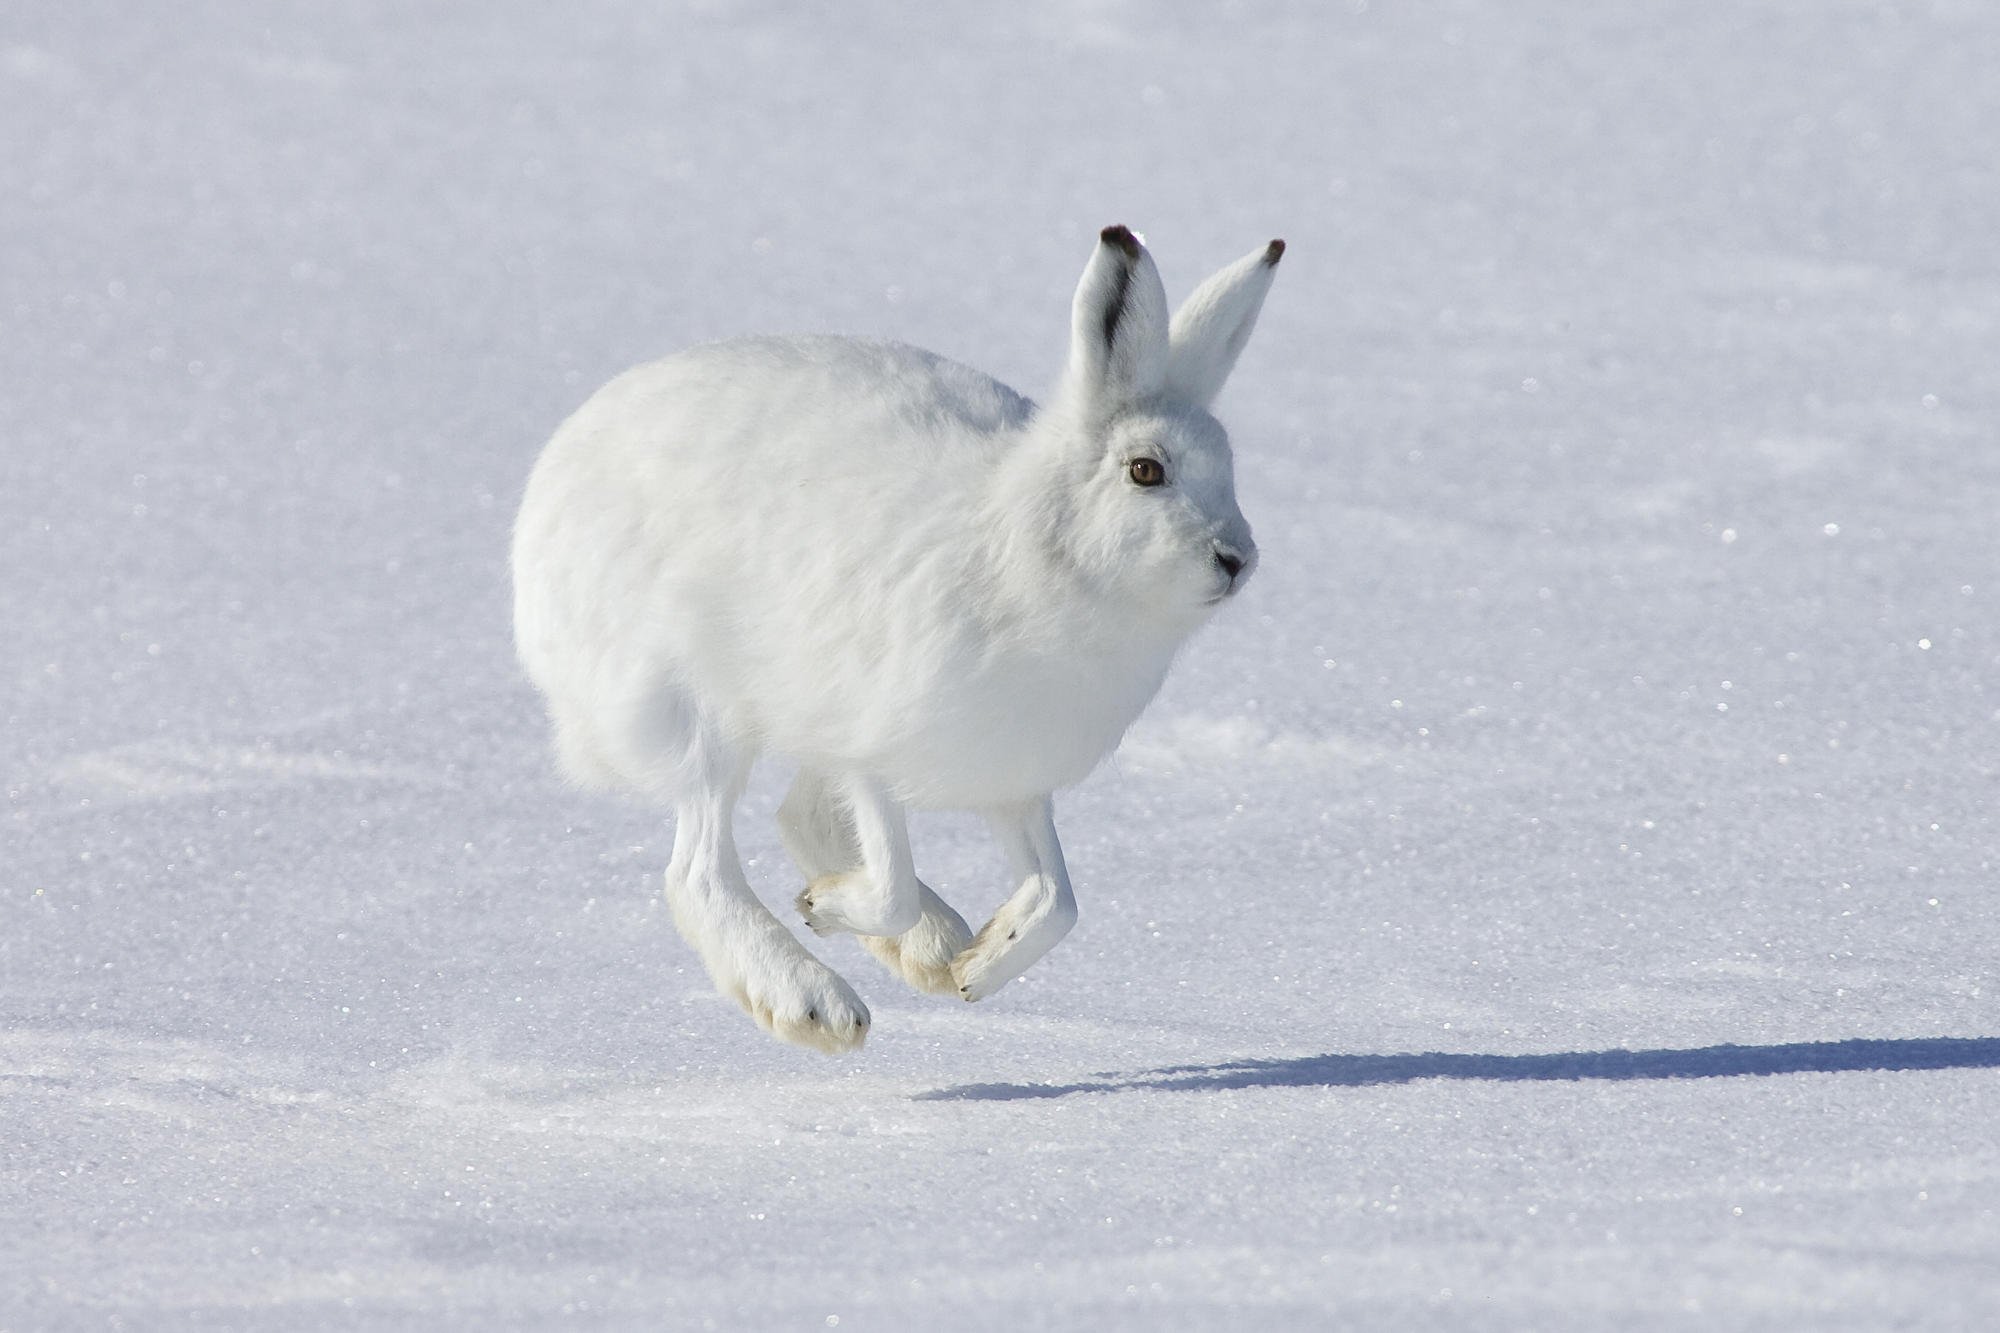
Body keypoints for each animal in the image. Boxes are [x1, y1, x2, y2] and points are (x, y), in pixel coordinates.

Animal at [511, 225, 1282, 1052]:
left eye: (1228, 468)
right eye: (1145, 471)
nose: (1236, 558)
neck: (1037, 552)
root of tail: (549, 488)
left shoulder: (1014, 780)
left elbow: (1058, 899)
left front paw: (978, 965)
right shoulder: (869, 747)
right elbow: (891, 886)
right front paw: (827, 911)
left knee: (798, 819)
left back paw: (936, 949)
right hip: (699, 710)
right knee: (700, 869)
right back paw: (813, 1001)